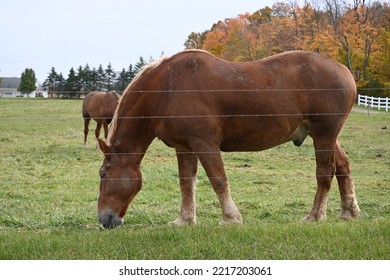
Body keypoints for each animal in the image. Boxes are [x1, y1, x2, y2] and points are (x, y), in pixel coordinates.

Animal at [96, 50, 362, 229]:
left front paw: (231, 218)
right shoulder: (185, 148)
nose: (104, 218)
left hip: (324, 136)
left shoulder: (205, 144)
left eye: (103, 174)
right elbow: (186, 184)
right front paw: (184, 220)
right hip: (327, 137)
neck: (167, 89)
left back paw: (315, 216)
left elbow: (218, 180)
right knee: (343, 166)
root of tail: (343, 70)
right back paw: (348, 212)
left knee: (325, 174)